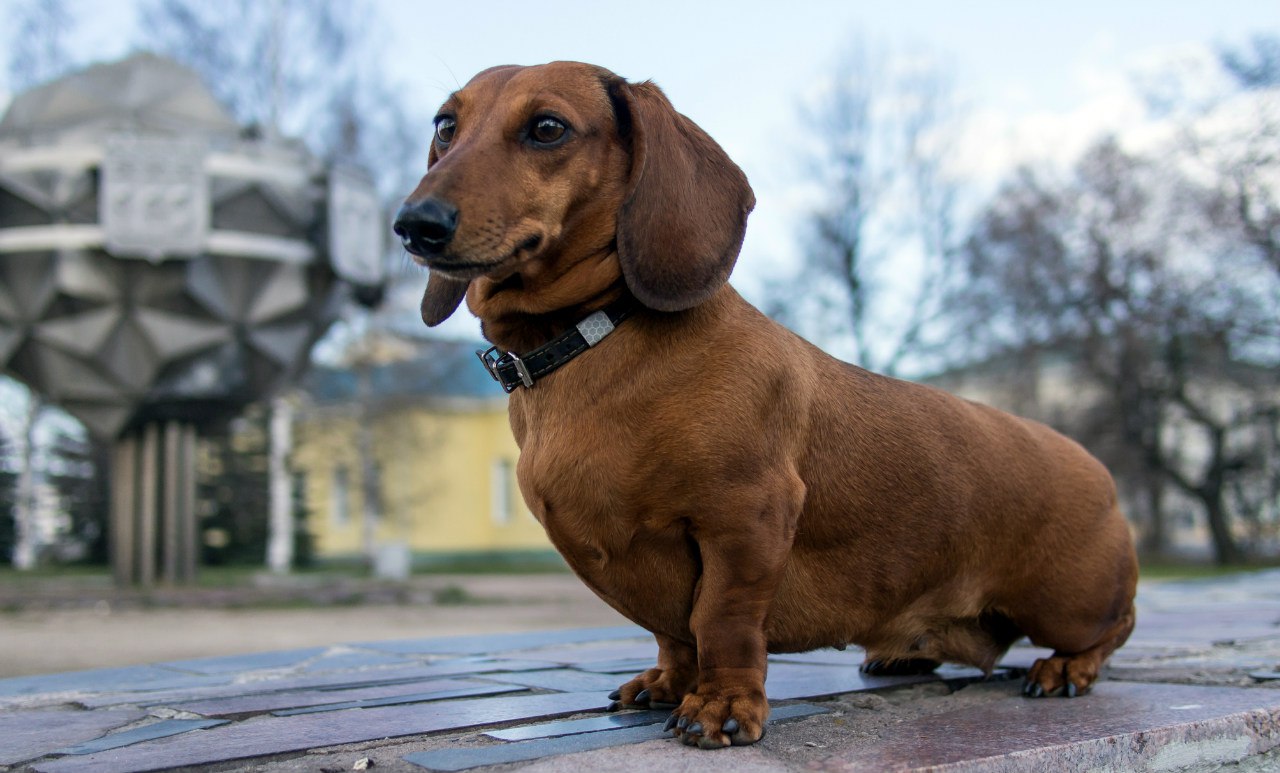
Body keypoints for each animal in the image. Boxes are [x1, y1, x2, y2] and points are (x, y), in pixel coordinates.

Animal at [394, 60, 1136, 747]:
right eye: (445, 125)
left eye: (547, 127)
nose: (414, 225)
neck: (594, 341)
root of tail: (1098, 467)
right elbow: (674, 634)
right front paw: (671, 682)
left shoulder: (744, 517)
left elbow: (719, 620)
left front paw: (723, 706)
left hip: (1065, 603)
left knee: (1114, 629)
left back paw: (1067, 668)